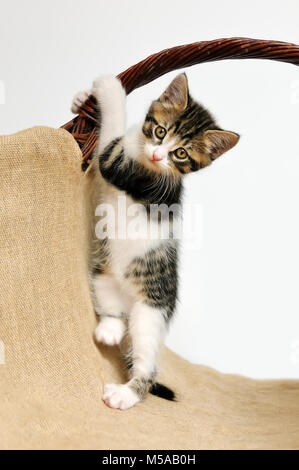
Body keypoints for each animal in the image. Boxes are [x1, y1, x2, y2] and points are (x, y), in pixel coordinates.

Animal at [71, 73, 240, 412]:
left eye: (181, 154)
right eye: (161, 131)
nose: (157, 155)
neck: (141, 155)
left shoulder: (122, 168)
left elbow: (112, 136)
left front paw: (109, 87)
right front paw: (82, 100)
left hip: (150, 314)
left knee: (146, 363)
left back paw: (125, 394)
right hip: (103, 274)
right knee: (114, 311)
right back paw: (109, 330)